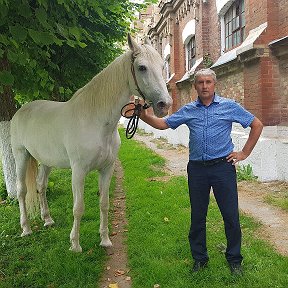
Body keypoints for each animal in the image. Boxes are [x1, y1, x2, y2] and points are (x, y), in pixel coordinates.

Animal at [10, 35, 172, 252]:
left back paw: (48, 220)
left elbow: (104, 203)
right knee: (22, 190)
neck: (96, 122)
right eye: (142, 67)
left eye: (163, 66)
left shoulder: (106, 169)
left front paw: (105, 240)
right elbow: (78, 208)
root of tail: (21, 110)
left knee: (41, 186)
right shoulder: (78, 171)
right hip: (21, 155)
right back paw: (26, 229)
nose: (165, 105)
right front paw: (75, 245)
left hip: (46, 161)